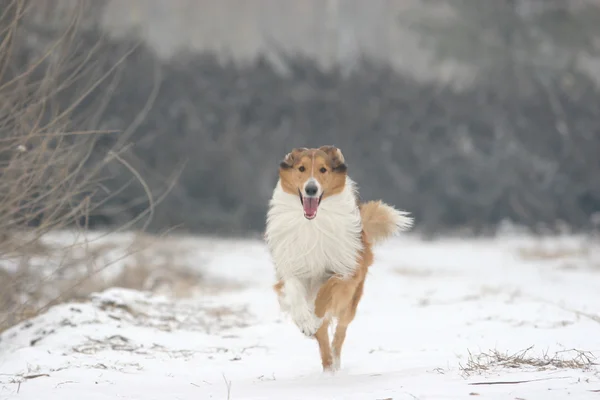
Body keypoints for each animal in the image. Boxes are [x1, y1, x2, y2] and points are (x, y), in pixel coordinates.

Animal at [266, 146, 412, 372]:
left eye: (323, 169)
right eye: (301, 168)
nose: (311, 189)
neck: (313, 224)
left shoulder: (345, 271)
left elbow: (326, 292)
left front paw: (313, 315)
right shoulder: (291, 267)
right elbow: (295, 293)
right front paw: (305, 322)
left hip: (351, 301)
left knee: (340, 329)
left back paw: (334, 361)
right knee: (323, 334)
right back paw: (328, 365)